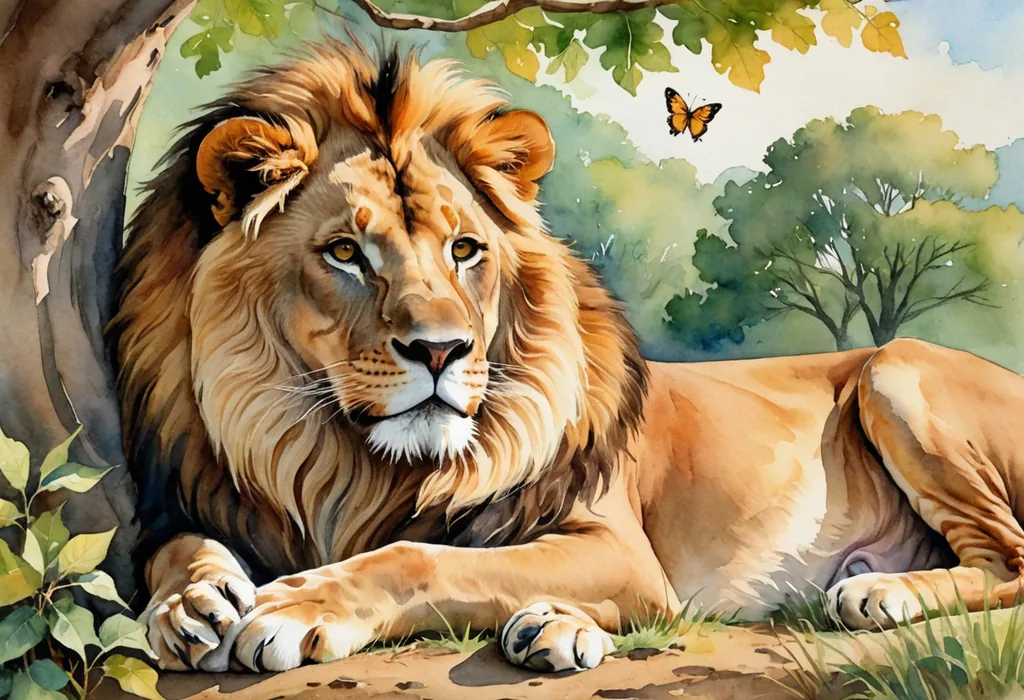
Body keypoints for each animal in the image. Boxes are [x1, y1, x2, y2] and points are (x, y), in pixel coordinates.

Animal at [112, 42, 1024, 674]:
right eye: (344, 252)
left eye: (465, 249)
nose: (441, 351)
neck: (346, 459)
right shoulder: (197, 504)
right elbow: (173, 547)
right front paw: (191, 603)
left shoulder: (623, 555)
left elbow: (420, 556)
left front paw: (294, 608)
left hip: (893, 370)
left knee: (1009, 557)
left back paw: (879, 593)